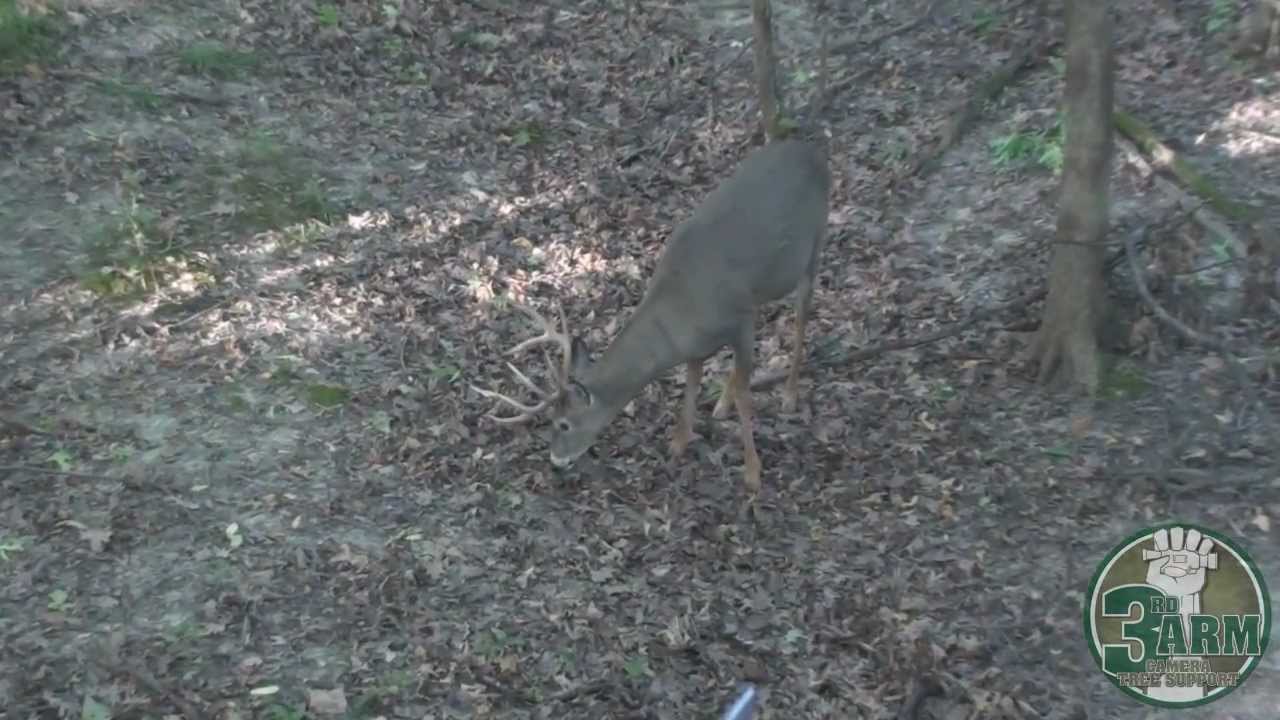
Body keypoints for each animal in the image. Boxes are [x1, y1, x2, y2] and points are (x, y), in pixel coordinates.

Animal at [471, 138, 831, 493]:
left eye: (564, 424)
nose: (555, 461)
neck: (682, 310)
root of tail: (811, 145)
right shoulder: (703, 341)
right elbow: (692, 382)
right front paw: (679, 443)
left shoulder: (739, 318)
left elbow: (744, 393)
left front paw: (752, 473)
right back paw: (721, 405)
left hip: (814, 243)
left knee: (801, 317)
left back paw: (788, 396)